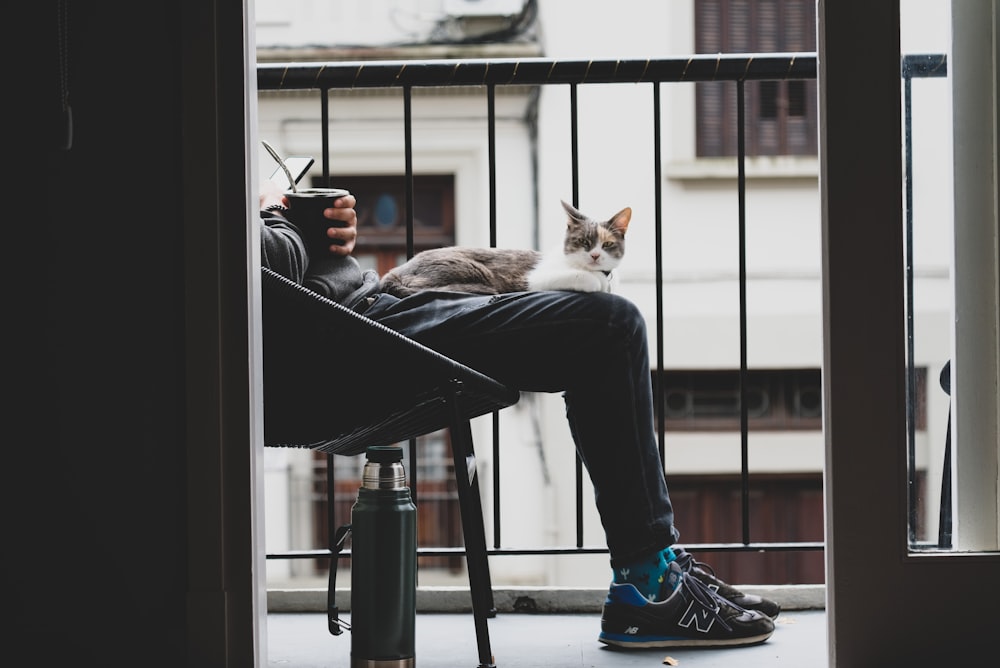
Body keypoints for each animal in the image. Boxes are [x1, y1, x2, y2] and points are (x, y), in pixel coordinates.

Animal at [378, 200, 628, 296]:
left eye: (607, 244)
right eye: (584, 242)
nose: (595, 255)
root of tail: (394, 272)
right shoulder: (533, 279)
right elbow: (586, 280)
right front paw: (594, 282)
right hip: (473, 269)